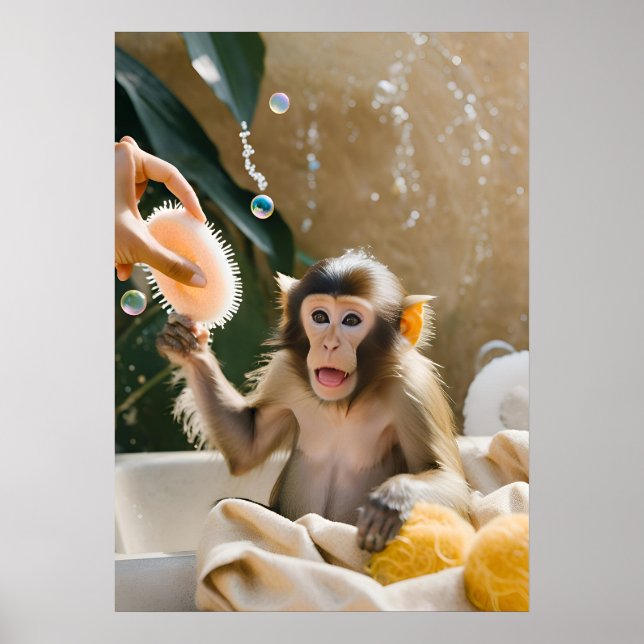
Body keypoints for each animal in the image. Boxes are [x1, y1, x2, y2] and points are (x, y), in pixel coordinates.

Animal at [156, 249, 470, 553]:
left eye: (351, 320)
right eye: (320, 317)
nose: (328, 345)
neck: (344, 403)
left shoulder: (413, 388)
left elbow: (452, 482)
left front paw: (392, 500)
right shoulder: (284, 375)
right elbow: (247, 446)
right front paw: (187, 347)